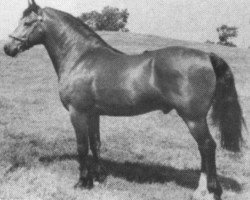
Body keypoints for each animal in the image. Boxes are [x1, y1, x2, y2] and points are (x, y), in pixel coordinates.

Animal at [3, 0, 244, 199]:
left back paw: (210, 190)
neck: (81, 58)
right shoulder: (93, 113)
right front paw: (98, 177)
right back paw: (201, 190)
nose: (7, 48)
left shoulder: (77, 112)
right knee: (204, 148)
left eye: (27, 22)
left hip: (194, 118)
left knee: (207, 146)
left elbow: (82, 146)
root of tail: (207, 56)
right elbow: (95, 143)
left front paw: (82, 182)